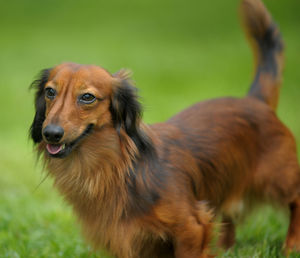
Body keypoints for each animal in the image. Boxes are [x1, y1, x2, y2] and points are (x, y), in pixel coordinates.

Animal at [29, 0, 300, 258]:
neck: (115, 168)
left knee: (296, 200)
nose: (50, 133)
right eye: (50, 92)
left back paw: (291, 246)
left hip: (278, 178)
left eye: (87, 97)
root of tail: (255, 101)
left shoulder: (192, 227)